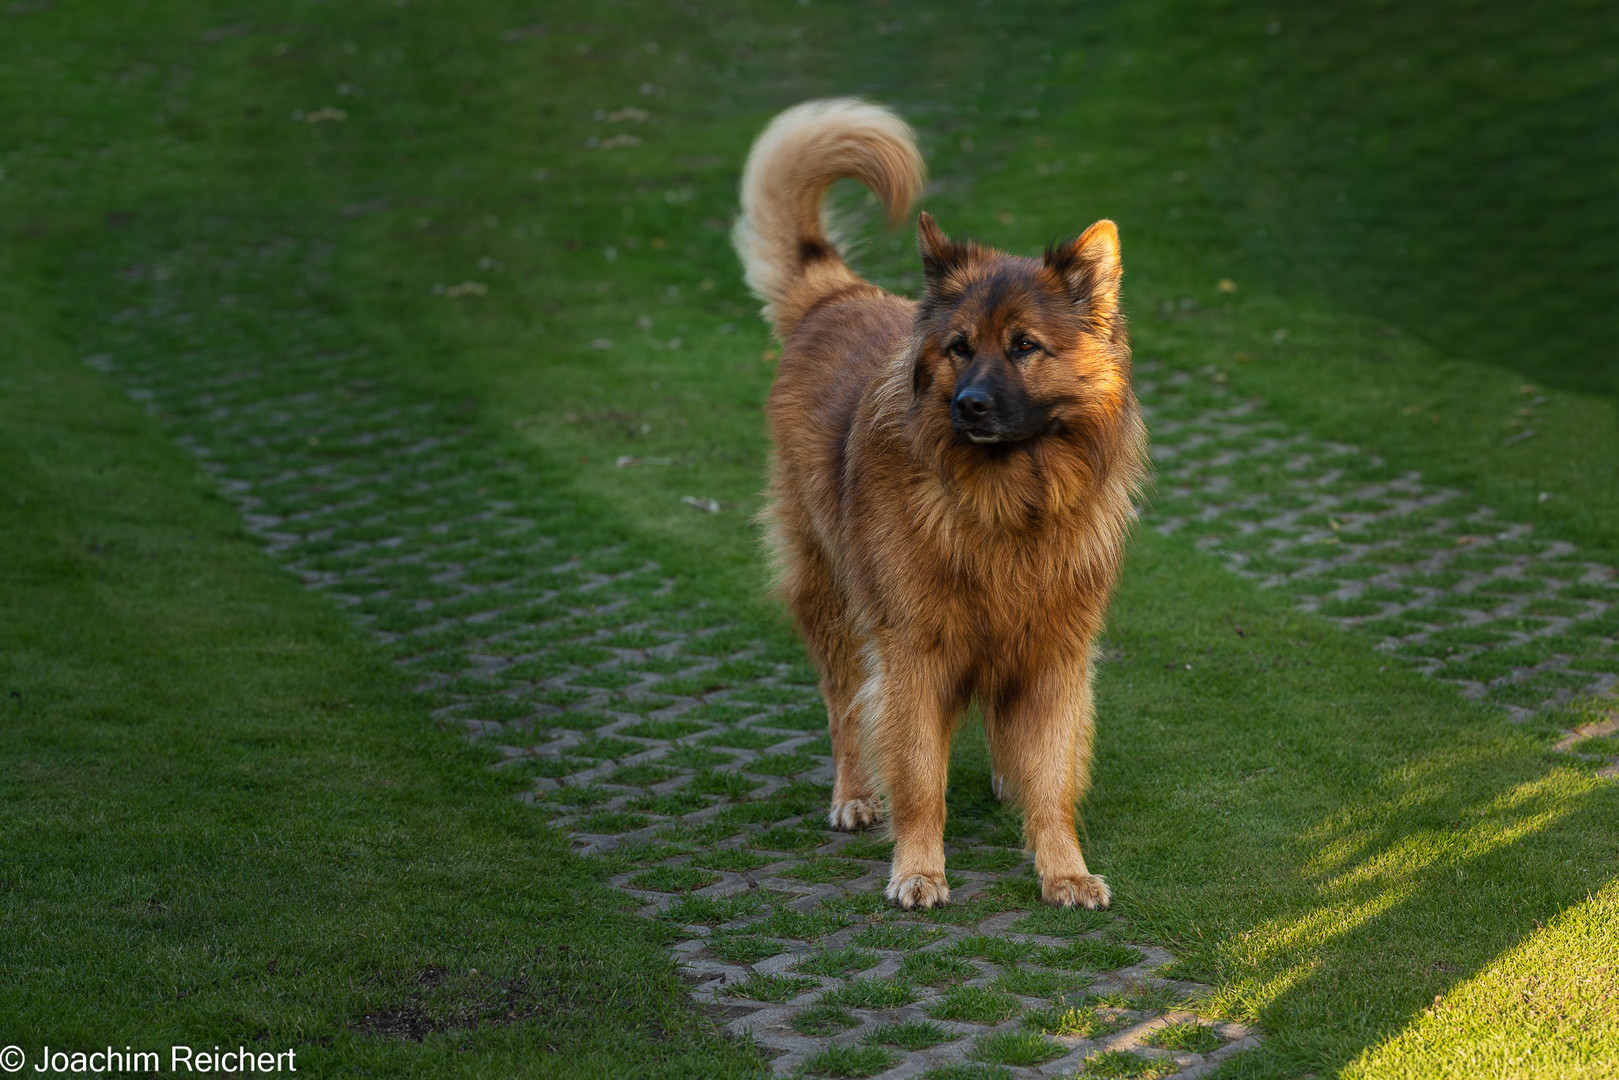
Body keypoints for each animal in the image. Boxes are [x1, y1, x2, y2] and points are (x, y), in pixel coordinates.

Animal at [735, 101, 1152, 913]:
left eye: (1024, 346)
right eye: (959, 347)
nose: (969, 406)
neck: (1004, 503)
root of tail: (836, 297)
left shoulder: (1054, 652)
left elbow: (1052, 778)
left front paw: (1062, 868)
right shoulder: (913, 651)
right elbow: (919, 774)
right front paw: (919, 869)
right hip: (831, 593)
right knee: (844, 704)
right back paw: (854, 795)